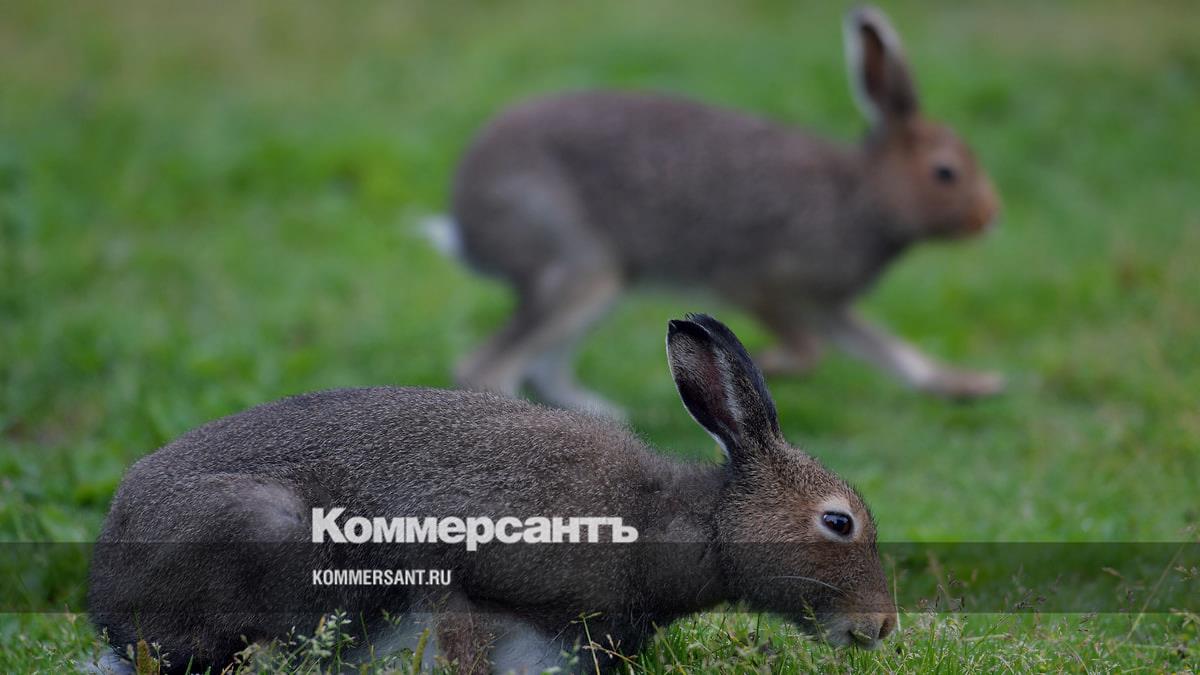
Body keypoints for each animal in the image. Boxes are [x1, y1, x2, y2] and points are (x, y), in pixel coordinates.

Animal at [88, 314, 897, 674]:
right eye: (838, 522)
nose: (883, 626)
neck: (672, 519)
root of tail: (106, 595)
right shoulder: (456, 577)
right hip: (273, 536)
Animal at [436, 5, 1002, 419]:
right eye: (946, 173)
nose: (989, 216)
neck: (867, 196)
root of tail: (465, 218)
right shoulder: (758, 283)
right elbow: (810, 350)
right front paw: (773, 363)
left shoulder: (827, 304)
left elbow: (892, 351)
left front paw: (970, 385)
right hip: (579, 270)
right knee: (486, 367)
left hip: (604, 285)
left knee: (543, 366)